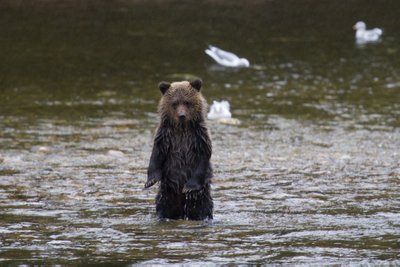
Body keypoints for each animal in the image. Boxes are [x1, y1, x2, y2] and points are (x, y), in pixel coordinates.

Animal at [145, 78, 214, 221]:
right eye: (175, 103)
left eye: (187, 102)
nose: (182, 115)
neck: (182, 129)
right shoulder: (166, 136)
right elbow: (156, 154)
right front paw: (151, 180)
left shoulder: (199, 137)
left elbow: (203, 159)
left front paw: (189, 187)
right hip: (168, 192)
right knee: (164, 205)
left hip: (201, 195)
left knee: (202, 207)